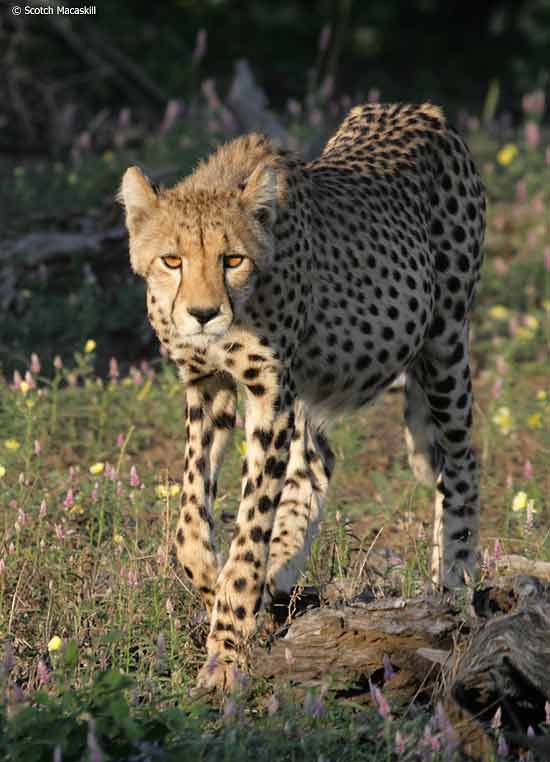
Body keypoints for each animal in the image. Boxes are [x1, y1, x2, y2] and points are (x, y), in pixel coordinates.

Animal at [119, 101, 488, 688]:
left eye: (232, 260)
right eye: (171, 260)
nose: (202, 314)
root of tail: (418, 109)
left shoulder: (269, 392)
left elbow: (250, 526)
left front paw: (227, 650)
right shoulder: (208, 386)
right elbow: (190, 522)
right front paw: (215, 584)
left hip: (445, 339)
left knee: (460, 459)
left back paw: (453, 581)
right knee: (317, 460)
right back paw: (283, 568)